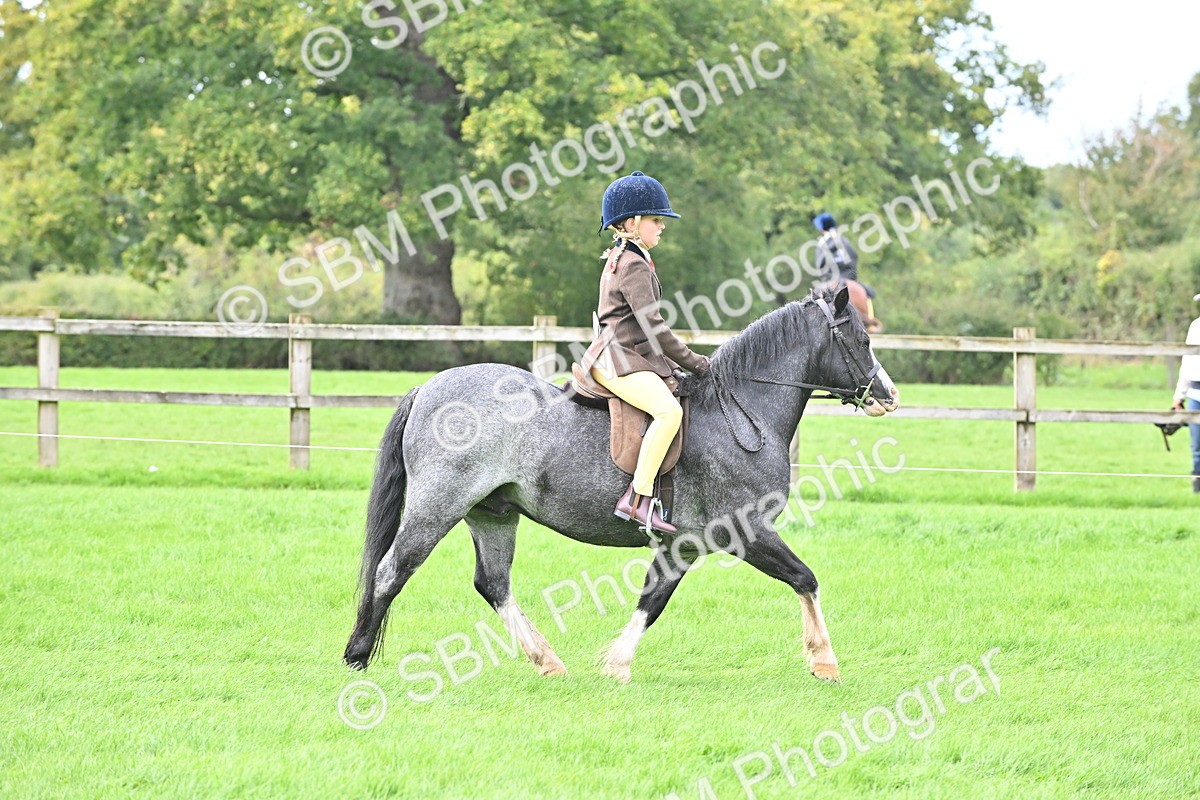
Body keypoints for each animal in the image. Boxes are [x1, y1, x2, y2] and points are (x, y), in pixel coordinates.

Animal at [343, 285, 899, 684]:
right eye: (863, 340)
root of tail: (427, 388)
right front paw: (825, 662)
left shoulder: (681, 545)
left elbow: (653, 600)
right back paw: (357, 656)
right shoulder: (746, 531)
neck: (741, 413)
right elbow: (805, 578)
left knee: (493, 584)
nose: (889, 395)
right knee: (392, 570)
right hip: (438, 506)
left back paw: (546, 661)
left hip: (492, 513)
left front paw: (615, 663)